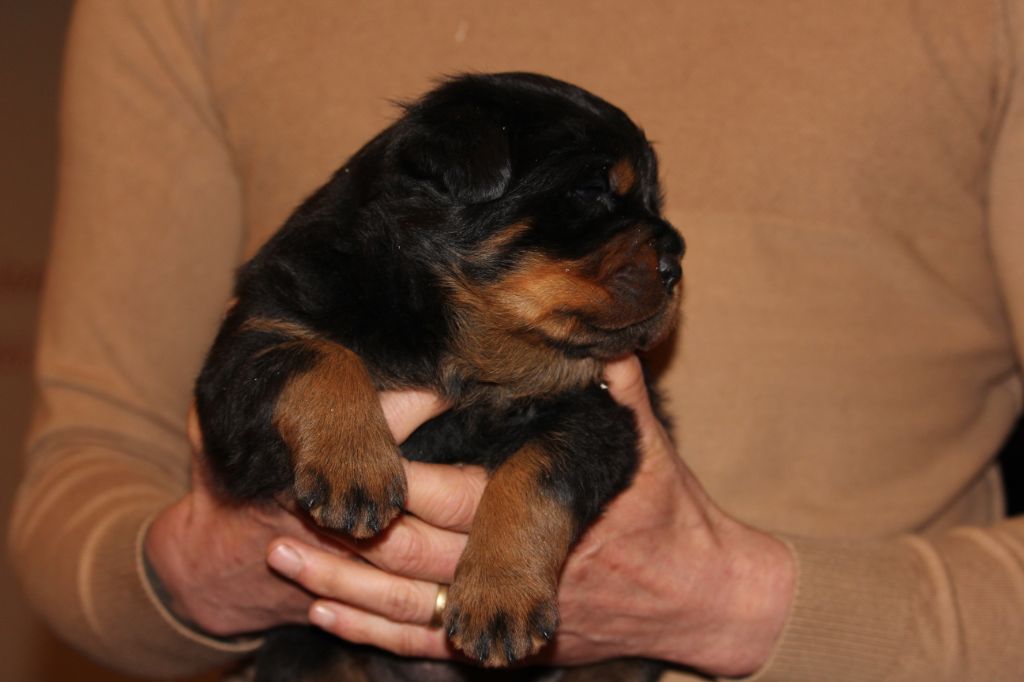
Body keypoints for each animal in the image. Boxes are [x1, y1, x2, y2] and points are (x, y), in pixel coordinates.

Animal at [195, 72, 684, 682]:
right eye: (591, 189)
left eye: (654, 201)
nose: (676, 263)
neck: (467, 341)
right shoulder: (249, 344)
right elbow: (319, 355)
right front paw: (354, 462)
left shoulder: (600, 412)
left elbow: (537, 474)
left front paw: (500, 595)